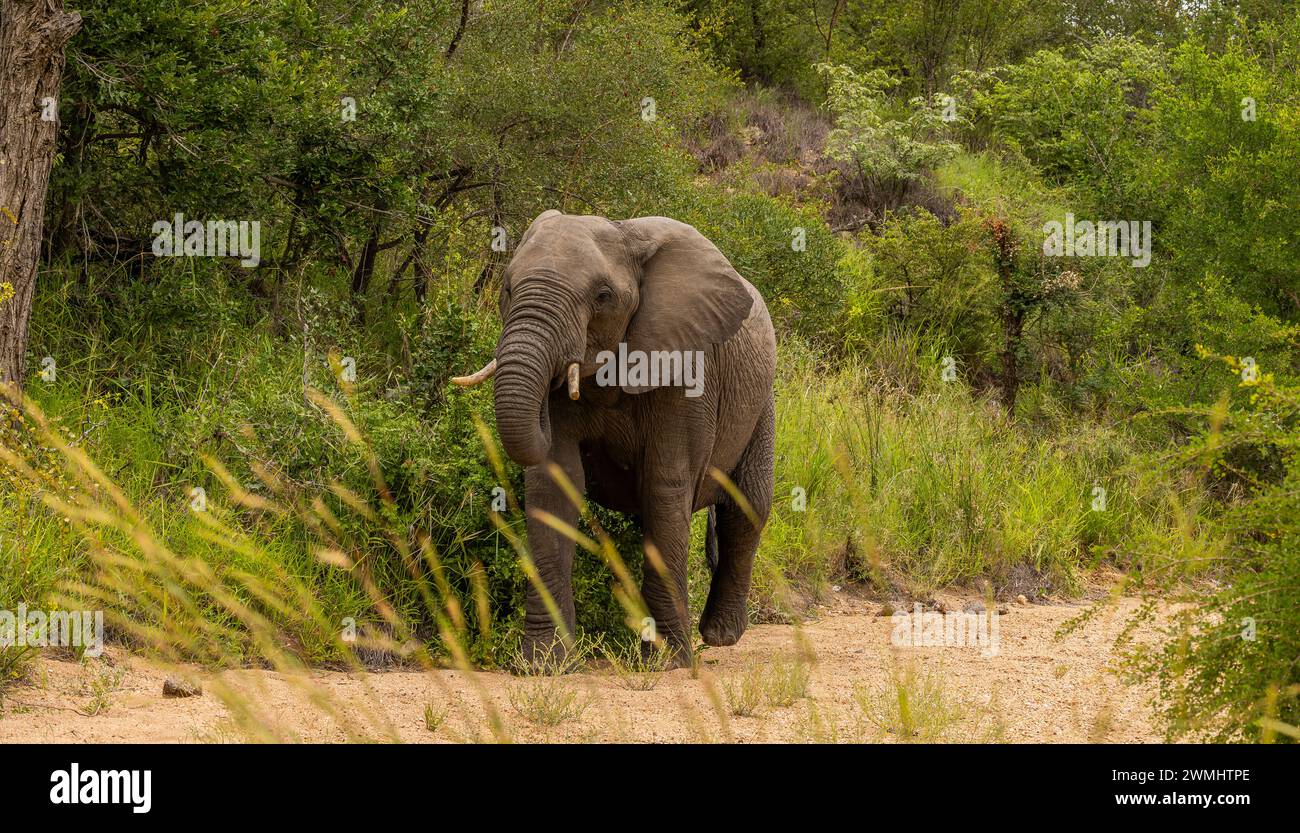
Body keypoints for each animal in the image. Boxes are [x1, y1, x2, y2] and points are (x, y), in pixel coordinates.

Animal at [452, 210, 776, 668]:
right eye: (508, 288)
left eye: (603, 296)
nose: (549, 391)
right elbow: (554, 485)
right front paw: (544, 664)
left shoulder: (686, 369)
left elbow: (664, 487)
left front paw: (667, 662)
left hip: (762, 404)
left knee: (745, 509)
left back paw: (720, 636)